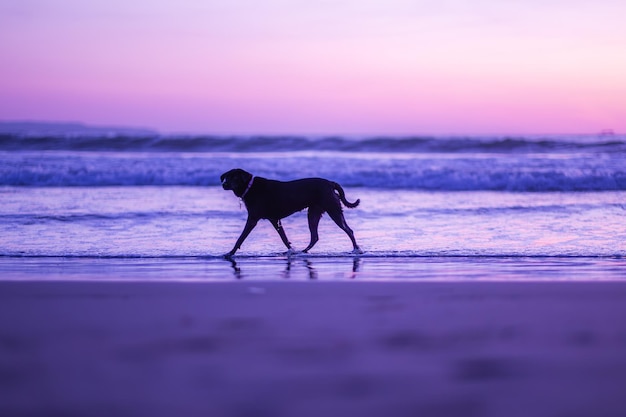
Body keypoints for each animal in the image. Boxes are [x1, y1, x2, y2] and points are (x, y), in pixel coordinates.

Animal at [222, 167, 364, 255]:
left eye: (235, 178)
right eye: (227, 177)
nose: (224, 184)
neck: (249, 187)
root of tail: (330, 183)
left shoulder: (253, 219)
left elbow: (241, 237)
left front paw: (230, 253)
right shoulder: (275, 220)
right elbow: (284, 238)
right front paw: (291, 250)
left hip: (333, 210)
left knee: (348, 230)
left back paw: (356, 250)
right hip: (313, 213)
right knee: (315, 236)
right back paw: (303, 251)